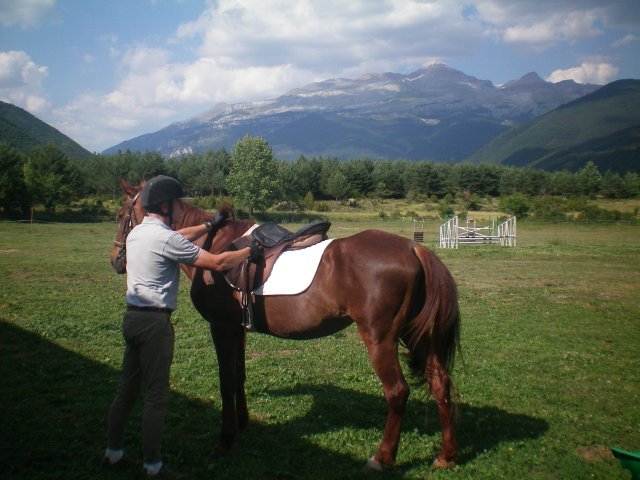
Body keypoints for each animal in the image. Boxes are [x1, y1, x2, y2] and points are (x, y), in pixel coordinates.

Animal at [110, 178, 460, 470]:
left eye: (121, 215)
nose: (116, 260)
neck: (212, 245)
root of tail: (414, 247)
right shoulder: (236, 329)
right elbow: (238, 376)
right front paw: (243, 423)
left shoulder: (221, 327)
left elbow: (225, 381)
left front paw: (225, 440)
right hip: (413, 333)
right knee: (440, 381)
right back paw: (446, 456)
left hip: (380, 338)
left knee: (398, 392)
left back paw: (382, 458)